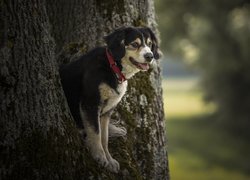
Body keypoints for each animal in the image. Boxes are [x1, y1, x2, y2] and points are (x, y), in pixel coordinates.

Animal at [59, 26, 160, 173]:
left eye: (150, 44)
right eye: (134, 44)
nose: (150, 56)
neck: (113, 67)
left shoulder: (107, 111)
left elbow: (104, 137)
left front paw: (110, 160)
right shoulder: (90, 104)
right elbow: (95, 132)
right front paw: (100, 157)